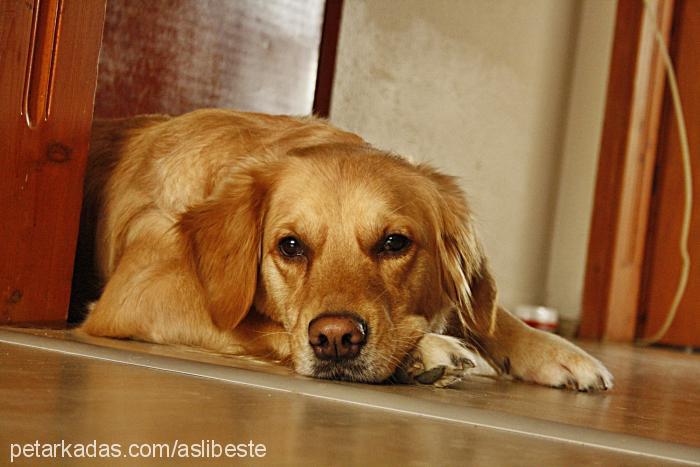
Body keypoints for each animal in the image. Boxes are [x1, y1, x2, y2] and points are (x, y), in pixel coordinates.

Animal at [78, 109, 612, 392]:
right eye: (290, 246)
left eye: (394, 243)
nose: (336, 339)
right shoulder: (138, 294)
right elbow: (257, 325)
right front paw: (425, 350)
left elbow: (491, 312)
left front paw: (560, 353)